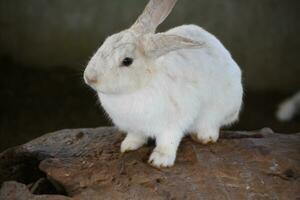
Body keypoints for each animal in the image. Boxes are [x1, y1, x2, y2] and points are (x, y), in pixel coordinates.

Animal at [83, 0, 243, 167]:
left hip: (219, 108)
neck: (139, 87)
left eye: (127, 61)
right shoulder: (135, 128)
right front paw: (127, 146)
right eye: (106, 41)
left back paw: (204, 137)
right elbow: (136, 136)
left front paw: (159, 161)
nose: (89, 77)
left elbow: (168, 142)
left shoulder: (173, 125)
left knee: (212, 123)